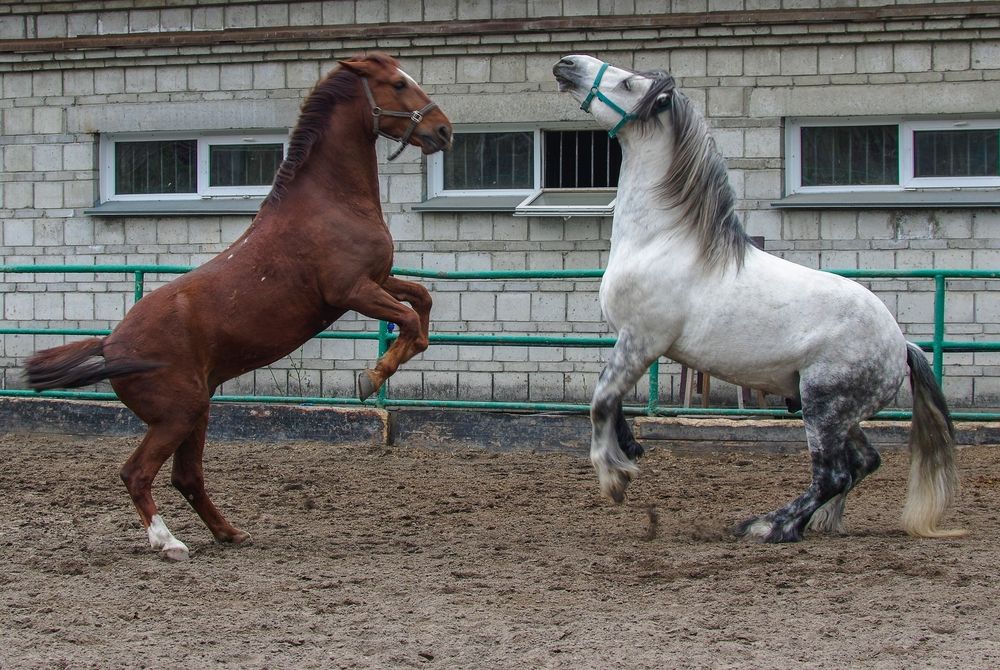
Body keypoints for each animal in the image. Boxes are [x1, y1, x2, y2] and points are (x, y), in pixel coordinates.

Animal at [24, 53, 453, 560]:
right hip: (179, 414)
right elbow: (410, 322)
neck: (328, 201)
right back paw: (169, 543)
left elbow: (421, 302)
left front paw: (378, 371)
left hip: (197, 412)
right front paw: (370, 378)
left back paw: (229, 533)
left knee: (186, 476)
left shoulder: (379, 279)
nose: (444, 130)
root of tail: (110, 346)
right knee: (137, 473)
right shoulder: (351, 291)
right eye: (397, 84)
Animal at [553, 54, 964, 542]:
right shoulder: (631, 345)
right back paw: (820, 522)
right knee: (864, 462)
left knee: (833, 474)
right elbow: (611, 399)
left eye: (629, 84)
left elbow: (600, 401)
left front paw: (615, 478)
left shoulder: (642, 341)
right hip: (839, 413)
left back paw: (770, 525)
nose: (568, 64)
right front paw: (631, 447)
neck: (663, 240)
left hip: (823, 407)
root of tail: (901, 346)